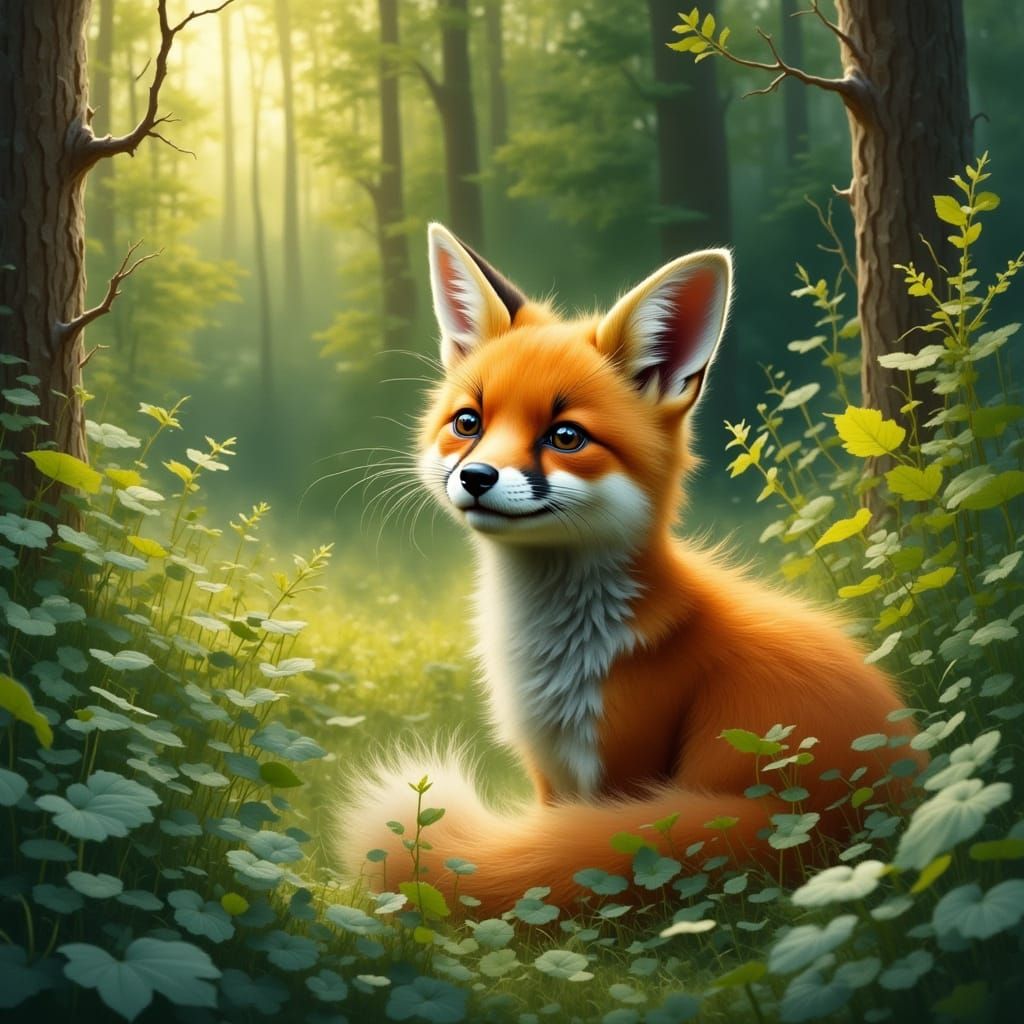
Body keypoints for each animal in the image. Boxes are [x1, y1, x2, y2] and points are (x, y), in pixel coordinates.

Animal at [337, 224, 918, 915]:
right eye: (468, 423)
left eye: (565, 436)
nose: (476, 477)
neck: (562, 651)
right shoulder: (551, 772)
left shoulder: (624, 760)